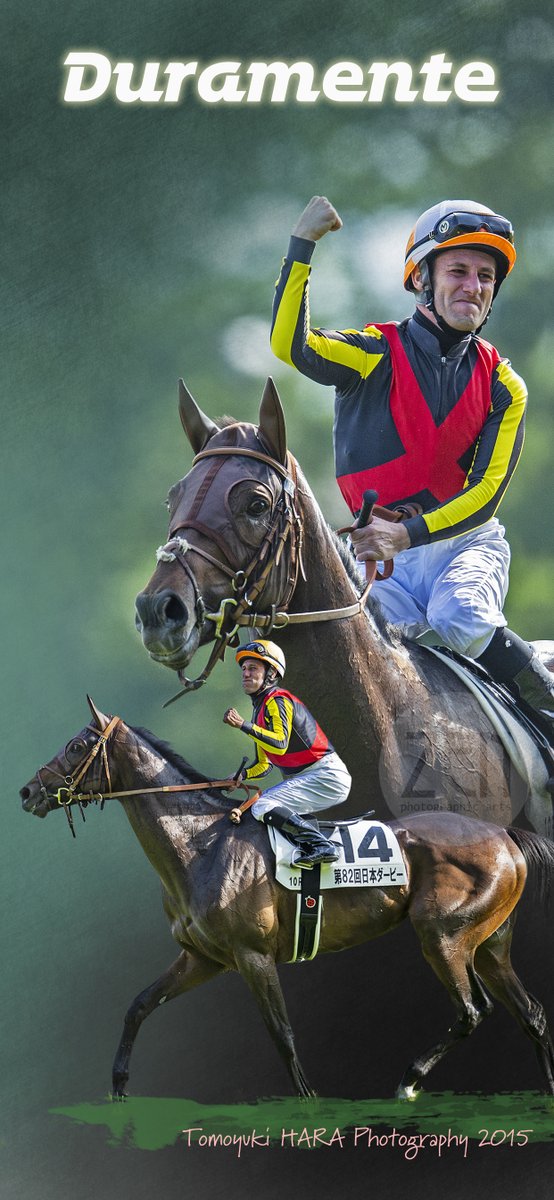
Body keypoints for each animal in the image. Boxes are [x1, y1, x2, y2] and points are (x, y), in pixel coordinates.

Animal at [20, 698, 554, 1100]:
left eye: (76, 746)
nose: (28, 791)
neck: (198, 843)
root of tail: (504, 834)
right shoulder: (203, 959)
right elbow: (138, 1005)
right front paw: (118, 1086)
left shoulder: (252, 956)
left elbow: (283, 1036)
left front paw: (309, 1104)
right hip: (488, 944)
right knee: (530, 1014)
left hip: (442, 935)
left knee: (472, 1011)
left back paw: (409, 1079)